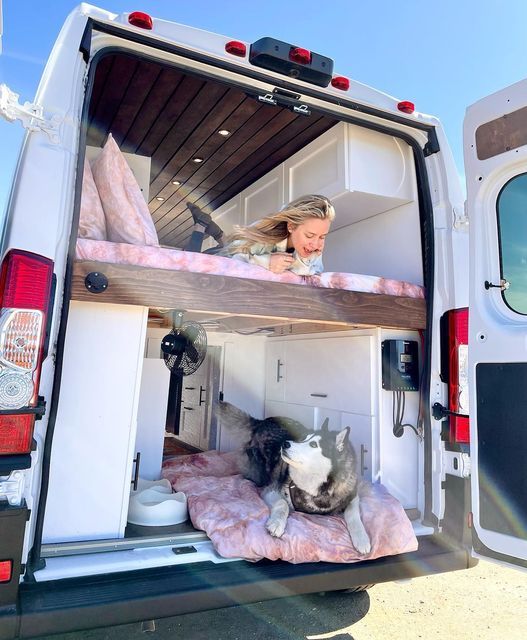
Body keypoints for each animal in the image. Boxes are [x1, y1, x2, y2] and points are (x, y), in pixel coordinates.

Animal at [214, 404, 372, 556]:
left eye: (313, 444)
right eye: (304, 439)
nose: (285, 444)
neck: (319, 488)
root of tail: (262, 421)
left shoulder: (351, 495)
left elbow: (354, 514)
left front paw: (362, 539)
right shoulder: (271, 490)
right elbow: (282, 504)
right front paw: (276, 524)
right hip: (257, 471)